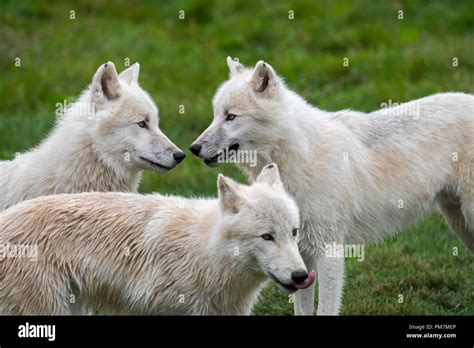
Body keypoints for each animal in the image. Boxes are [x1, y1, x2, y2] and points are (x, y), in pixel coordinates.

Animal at [189, 57, 474, 316]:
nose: (193, 148)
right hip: (459, 222)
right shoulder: (301, 256)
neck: (301, 156)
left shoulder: (330, 251)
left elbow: (325, 309)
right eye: (215, 116)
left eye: (231, 117)